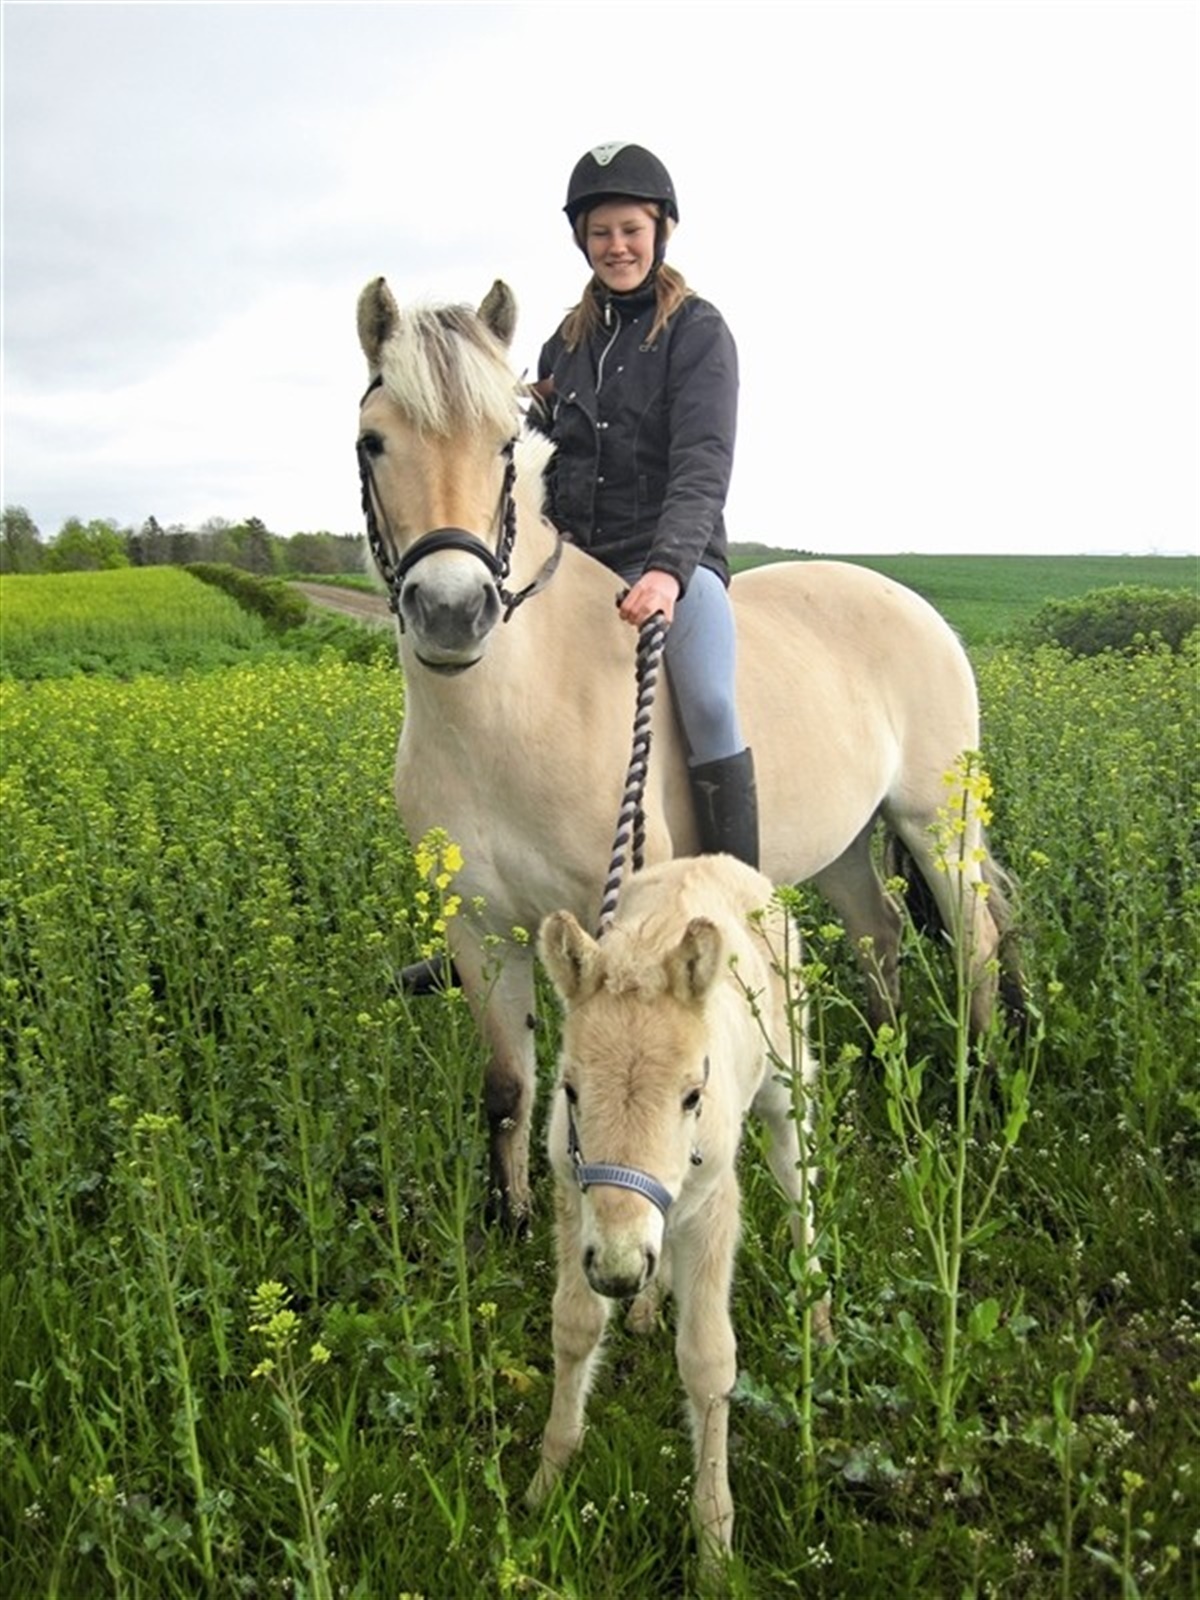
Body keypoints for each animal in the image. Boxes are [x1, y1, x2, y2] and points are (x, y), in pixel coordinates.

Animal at [355, 275, 1023, 1228]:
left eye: (504, 443)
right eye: (373, 442)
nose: (453, 611)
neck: (509, 714)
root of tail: (910, 601)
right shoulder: (479, 932)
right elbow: (509, 1088)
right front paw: (509, 1221)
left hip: (939, 825)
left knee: (975, 945)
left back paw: (982, 1089)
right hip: (844, 847)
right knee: (878, 934)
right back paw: (880, 1078)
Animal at [528, 853, 826, 1569]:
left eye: (693, 1094)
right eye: (569, 1089)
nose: (618, 1269)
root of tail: (717, 859)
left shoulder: (715, 1204)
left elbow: (709, 1360)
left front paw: (715, 1544)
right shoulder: (576, 1200)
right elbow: (574, 1326)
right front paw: (547, 1481)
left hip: (787, 1083)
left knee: (799, 1178)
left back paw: (819, 1315)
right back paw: (644, 1304)